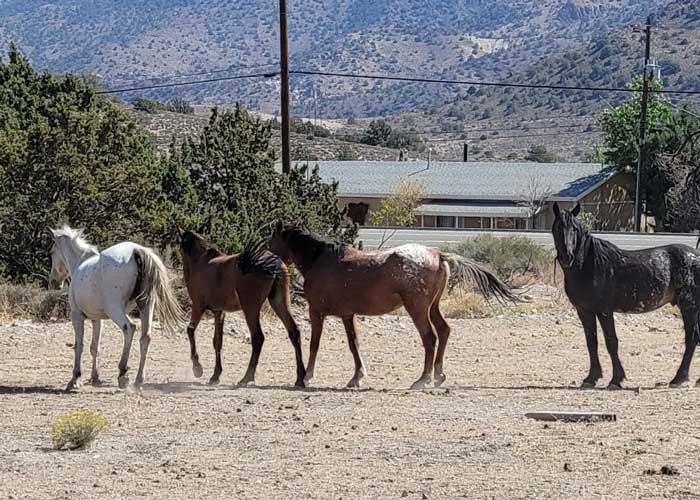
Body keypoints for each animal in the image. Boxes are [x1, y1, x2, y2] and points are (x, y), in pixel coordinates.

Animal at [50, 226, 185, 390]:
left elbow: (79, 346)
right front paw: (95, 378)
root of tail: (136, 250)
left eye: (52, 252)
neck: (80, 264)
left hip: (115, 310)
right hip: (146, 305)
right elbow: (94, 347)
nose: (53, 282)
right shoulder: (97, 320)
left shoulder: (77, 316)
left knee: (129, 328)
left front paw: (75, 379)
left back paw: (122, 373)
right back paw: (138, 380)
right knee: (145, 337)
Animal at [179, 229, 304, 386]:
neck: (202, 262)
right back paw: (300, 378)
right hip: (279, 302)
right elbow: (217, 341)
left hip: (250, 308)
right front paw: (215, 375)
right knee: (294, 332)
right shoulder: (219, 312)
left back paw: (247, 377)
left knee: (258, 338)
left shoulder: (198, 306)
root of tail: (273, 263)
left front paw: (197, 368)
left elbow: (190, 330)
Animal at [266, 223, 516, 390]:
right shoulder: (348, 315)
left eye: (271, 240)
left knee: (430, 338)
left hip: (417, 309)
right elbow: (354, 344)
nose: (267, 259)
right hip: (432, 308)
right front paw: (356, 377)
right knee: (444, 331)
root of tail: (437, 254)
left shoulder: (316, 312)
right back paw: (438, 375)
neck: (321, 260)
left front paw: (307, 377)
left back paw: (422, 379)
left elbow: (314, 345)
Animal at [556, 201, 700, 388]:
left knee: (692, 338)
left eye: (574, 228)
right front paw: (591, 378)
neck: (589, 265)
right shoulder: (584, 311)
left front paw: (616, 379)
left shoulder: (604, 311)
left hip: (689, 306)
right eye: (558, 227)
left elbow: (611, 341)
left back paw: (679, 379)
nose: (567, 256)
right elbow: (591, 342)